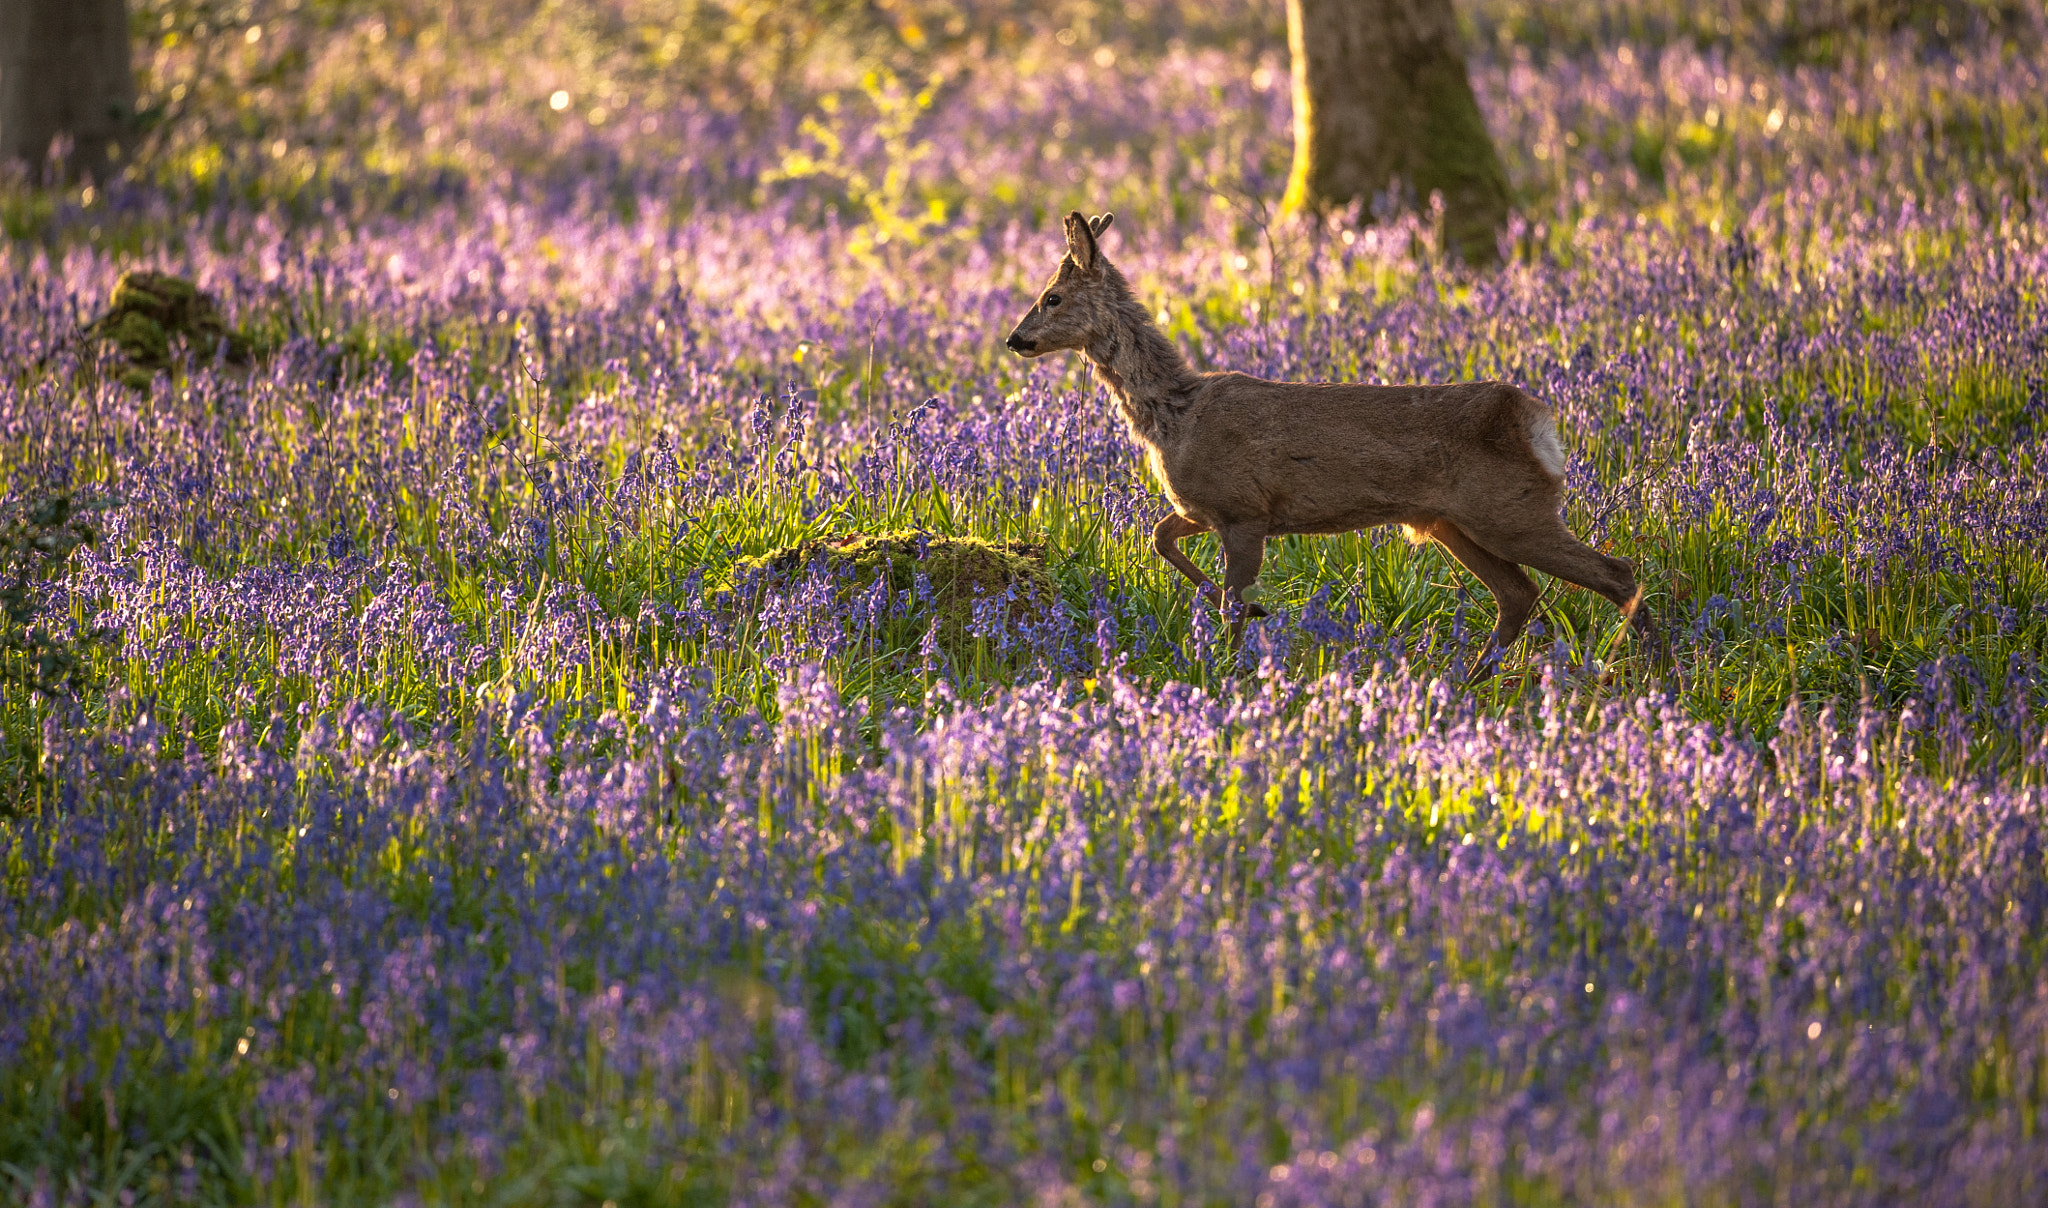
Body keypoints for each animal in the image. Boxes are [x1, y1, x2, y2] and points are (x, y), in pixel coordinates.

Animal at [1004, 210, 1662, 678]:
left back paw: (1656, 670)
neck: (1177, 415)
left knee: (1616, 570)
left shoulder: (1244, 509)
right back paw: (1468, 681)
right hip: (1455, 523)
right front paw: (1248, 620)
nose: (1014, 339)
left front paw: (1228, 668)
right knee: (1520, 594)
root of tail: (1537, 421)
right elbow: (1159, 536)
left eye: (1052, 297)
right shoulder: (1210, 508)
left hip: (1510, 510)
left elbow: (1227, 600)